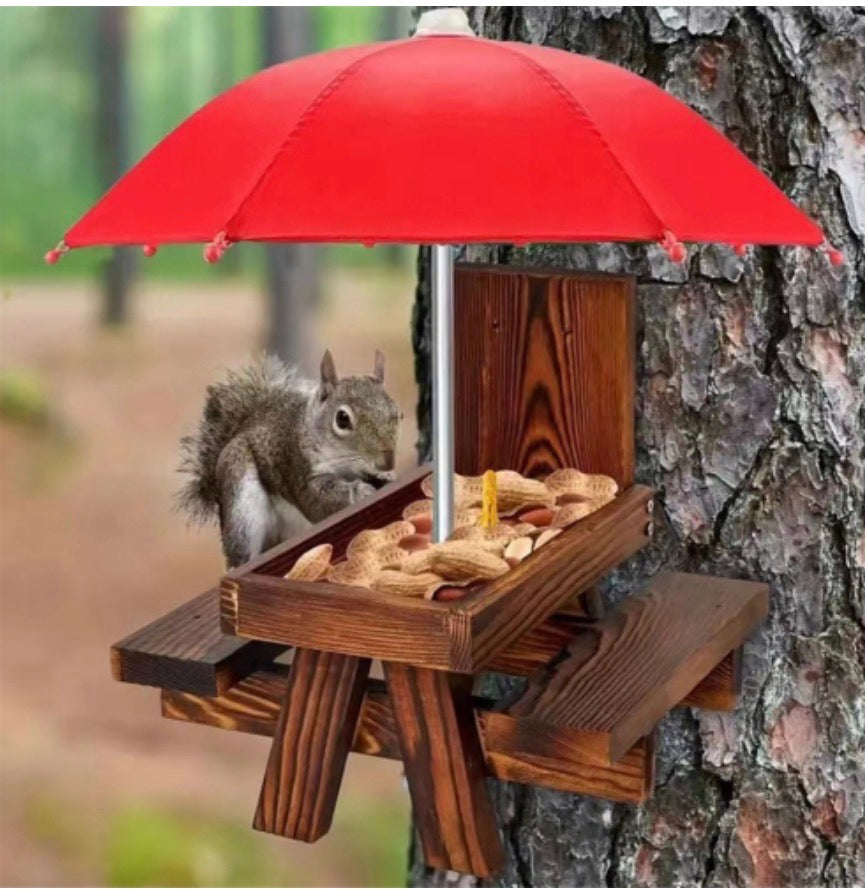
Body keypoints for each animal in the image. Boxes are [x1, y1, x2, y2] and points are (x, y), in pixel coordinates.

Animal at [178, 349, 401, 568]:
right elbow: (317, 500)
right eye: (342, 419)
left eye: (398, 413)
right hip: (241, 503)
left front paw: (385, 476)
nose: (387, 462)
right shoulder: (297, 464)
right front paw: (361, 491)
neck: (342, 458)